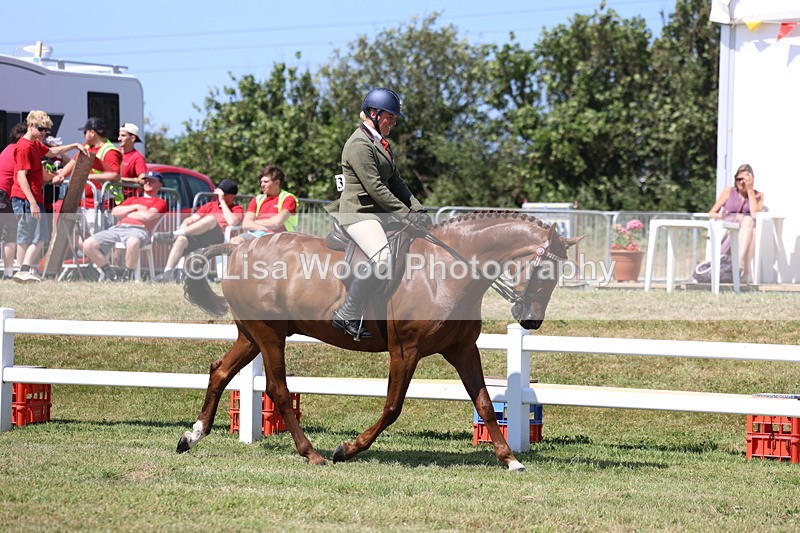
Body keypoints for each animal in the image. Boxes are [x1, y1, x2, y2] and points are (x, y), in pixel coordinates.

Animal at [177, 211, 580, 471]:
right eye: (545, 271)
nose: (531, 320)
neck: (448, 271)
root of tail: (237, 249)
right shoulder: (406, 350)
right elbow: (392, 407)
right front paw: (347, 449)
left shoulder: (462, 350)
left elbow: (483, 401)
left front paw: (510, 459)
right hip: (269, 335)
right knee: (277, 388)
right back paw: (312, 453)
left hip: (252, 335)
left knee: (219, 371)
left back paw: (192, 436)